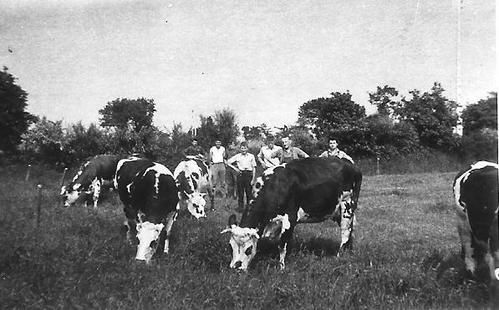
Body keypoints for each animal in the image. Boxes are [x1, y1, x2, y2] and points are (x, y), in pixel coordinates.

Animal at [223, 157, 364, 268]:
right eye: (230, 246)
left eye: (249, 249)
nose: (235, 268)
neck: (275, 186)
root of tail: (351, 165)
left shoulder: (289, 219)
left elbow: (282, 245)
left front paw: (281, 267)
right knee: (351, 231)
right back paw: (349, 251)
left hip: (347, 205)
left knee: (345, 233)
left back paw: (339, 256)